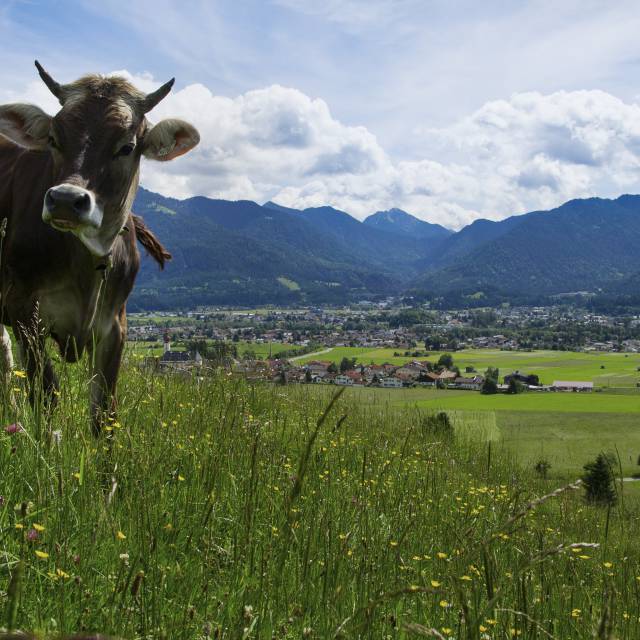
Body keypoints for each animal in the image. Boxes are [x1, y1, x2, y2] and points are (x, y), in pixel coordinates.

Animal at [0, 61, 199, 435]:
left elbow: (104, 413)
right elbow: (47, 398)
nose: (65, 200)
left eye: (127, 146)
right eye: (53, 139)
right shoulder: (23, 311)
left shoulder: (114, 326)